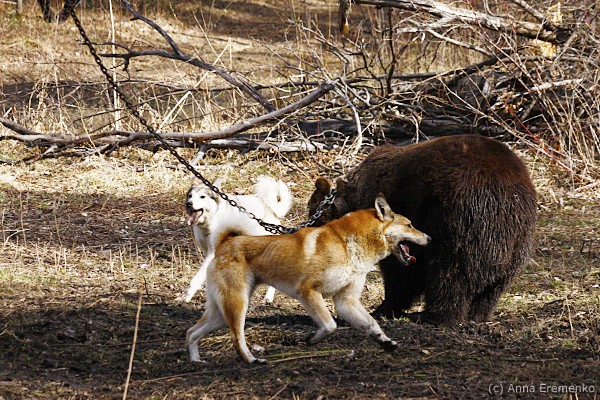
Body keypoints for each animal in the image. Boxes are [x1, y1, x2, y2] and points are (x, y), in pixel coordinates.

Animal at [186, 194, 431, 363]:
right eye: (410, 225)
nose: (429, 237)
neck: (347, 244)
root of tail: (225, 242)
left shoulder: (346, 302)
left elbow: (372, 324)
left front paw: (385, 342)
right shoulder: (308, 291)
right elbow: (330, 325)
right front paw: (312, 339)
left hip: (220, 312)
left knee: (191, 333)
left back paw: (196, 361)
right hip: (237, 305)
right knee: (237, 339)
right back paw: (252, 360)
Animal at [308, 135, 538, 325]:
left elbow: (401, 273)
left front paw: (384, 307)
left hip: (458, 219)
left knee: (451, 270)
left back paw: (434, 315)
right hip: (518, 238)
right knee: (495, 284)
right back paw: (478, 314)